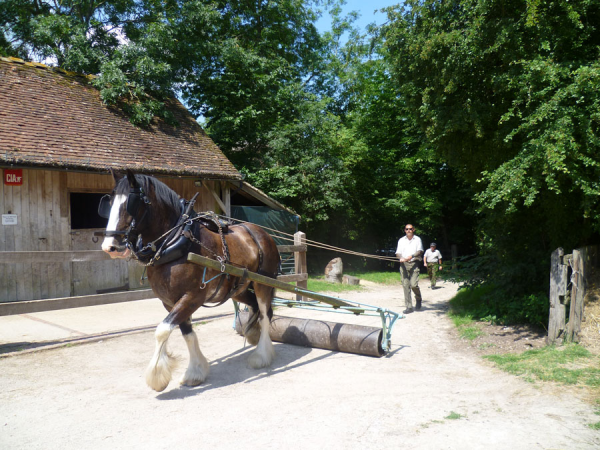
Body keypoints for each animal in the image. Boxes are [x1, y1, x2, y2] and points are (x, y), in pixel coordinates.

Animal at [98, 171, 278, 392]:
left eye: (131, 203)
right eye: (110, 202)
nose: (110, 246)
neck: (177, 241)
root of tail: (263, 233)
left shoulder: (193, 297)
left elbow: (162, 330)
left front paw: (157, 376)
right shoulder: (169, 302)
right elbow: (187, 333)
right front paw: (195, 372)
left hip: (264, 284)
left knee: (265, 314)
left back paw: (262, 355)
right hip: (240, 289)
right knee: (254, 307)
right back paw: (253, 335)